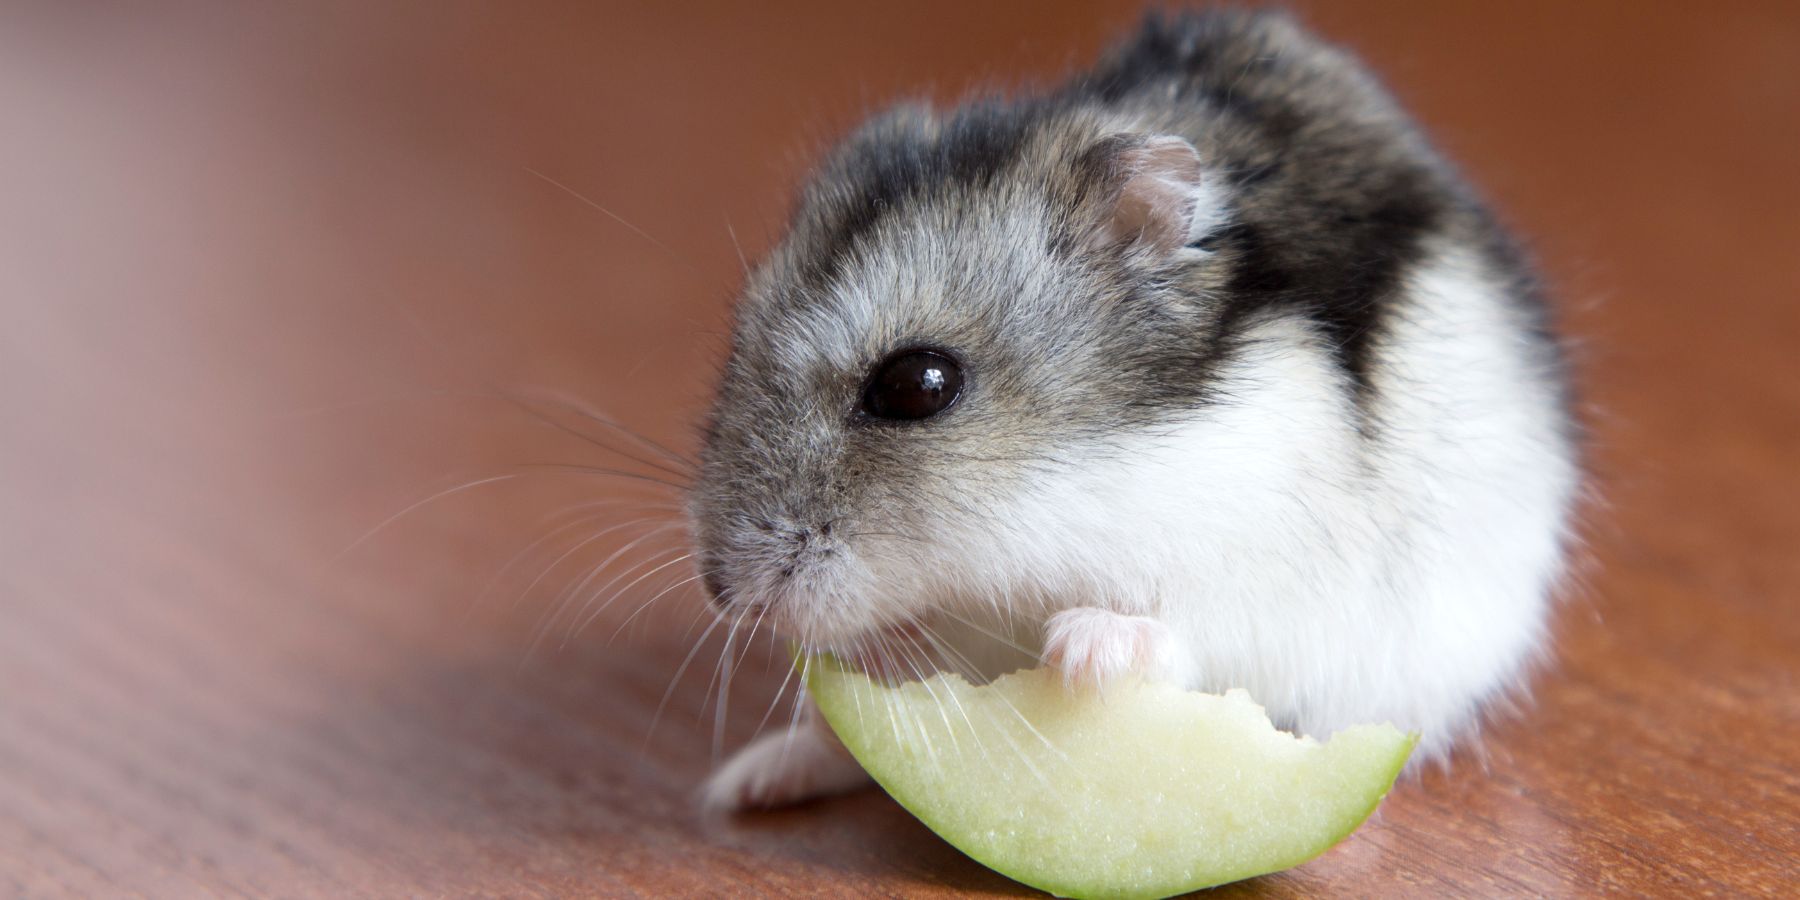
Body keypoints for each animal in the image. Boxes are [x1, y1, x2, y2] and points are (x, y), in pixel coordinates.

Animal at [684, 8, 1576, 810]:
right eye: (739, 335)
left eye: (918, 385)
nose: (726, 596)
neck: (1080, 489)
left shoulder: (1261, 578)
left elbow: (1178, 630)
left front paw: (1078, 649)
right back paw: (751, 782)